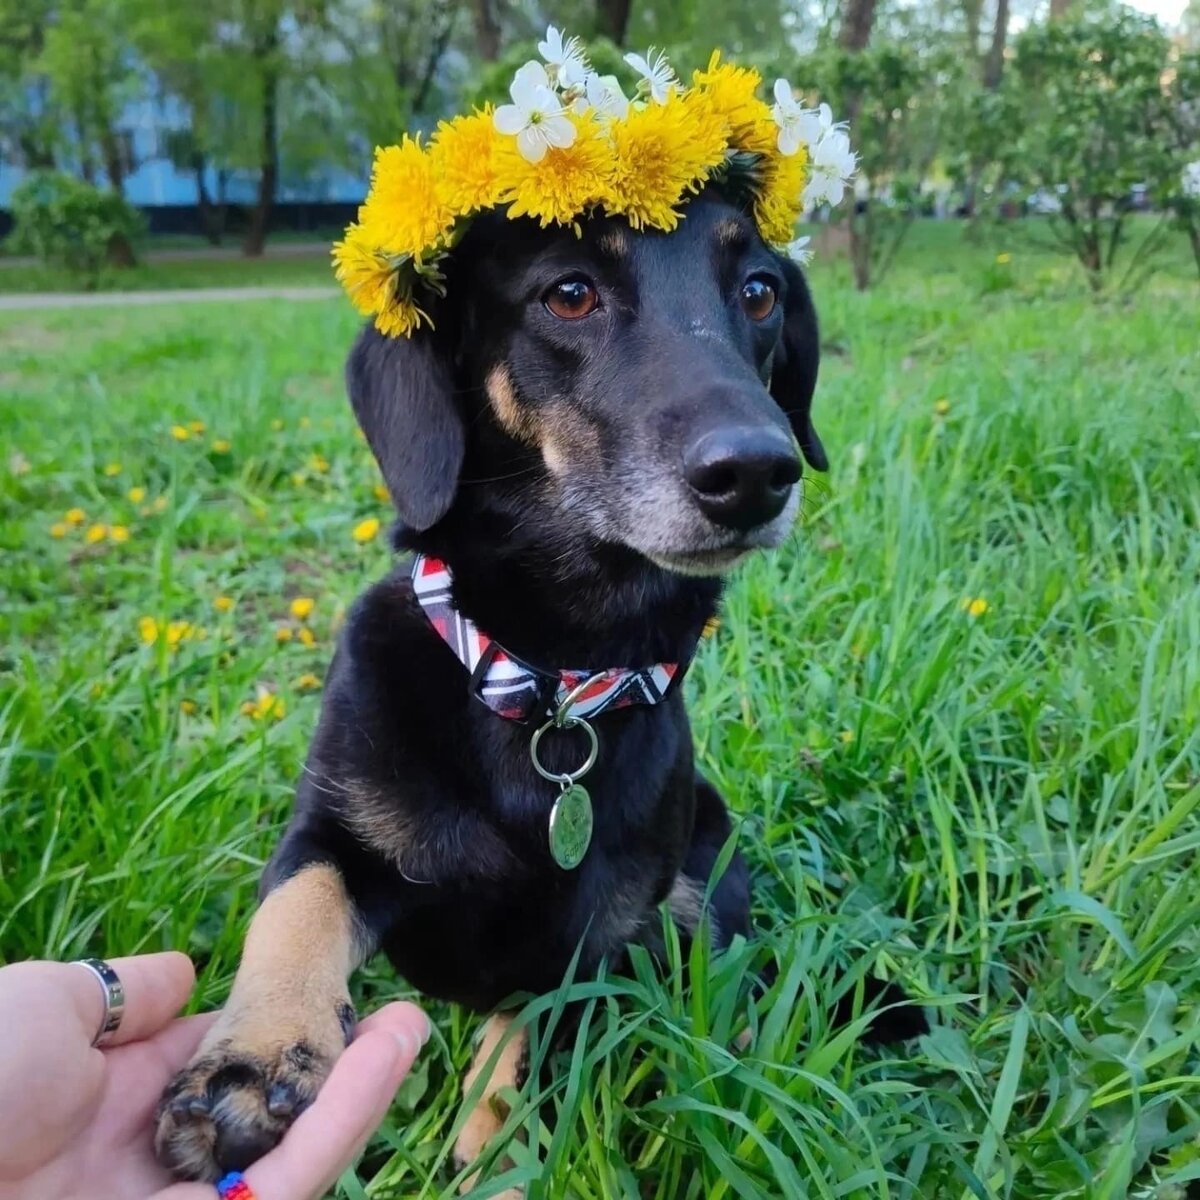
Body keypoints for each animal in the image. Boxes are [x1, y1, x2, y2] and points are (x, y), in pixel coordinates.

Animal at [152, 192, 844, 1185]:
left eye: (759, 291)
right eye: (569, 292)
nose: (757, 472)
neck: (546, 682)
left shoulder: (591, 939)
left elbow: (524, 1030)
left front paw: (497, 1144)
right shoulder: (336, 832)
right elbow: (295, 910)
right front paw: (249, 1063)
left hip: (701, 872)